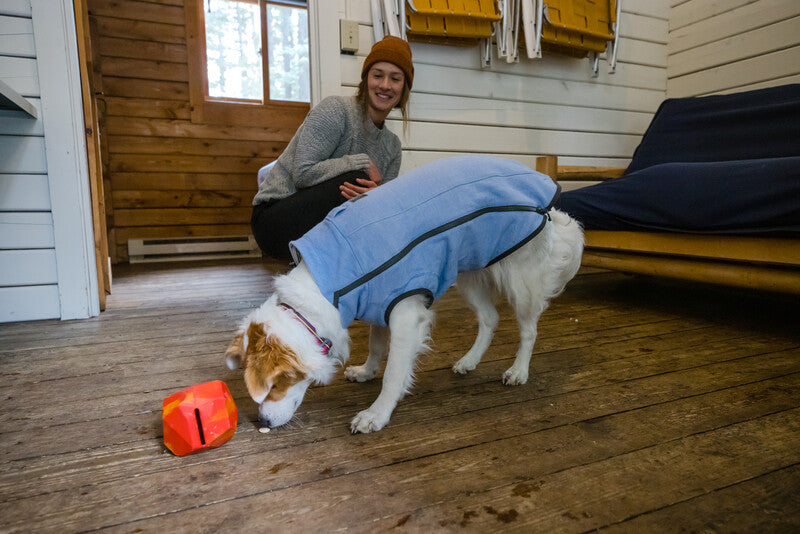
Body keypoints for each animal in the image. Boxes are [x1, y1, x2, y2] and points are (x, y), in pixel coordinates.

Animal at [225, 155, 580, 436]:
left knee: (529, 330)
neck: (327, 281)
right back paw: (469, 361)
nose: (262, 422)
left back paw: (519, 371)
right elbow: (375, 346)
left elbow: (394, 372)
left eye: (275, 384)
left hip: (519, 280)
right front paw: (366, 371)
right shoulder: (379, 303)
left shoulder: (406, 315)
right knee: (490, 318)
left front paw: (376, 414)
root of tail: (549, 206)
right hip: (467, 272)